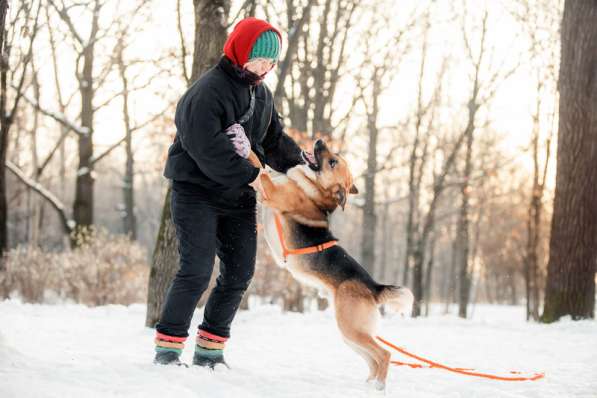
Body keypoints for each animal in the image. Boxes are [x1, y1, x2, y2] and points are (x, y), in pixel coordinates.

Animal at [253, 139, 414, 388]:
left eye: (332, 162)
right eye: (334, 156)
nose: (320, 141)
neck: (314, 188)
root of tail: (373, 286)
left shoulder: (271, 193)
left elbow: (258, 169)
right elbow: (265, 171)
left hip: (351, 328)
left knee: (384, 354)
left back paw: (378, 386)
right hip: (351, 335)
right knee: (373, 360)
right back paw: (369, 386)